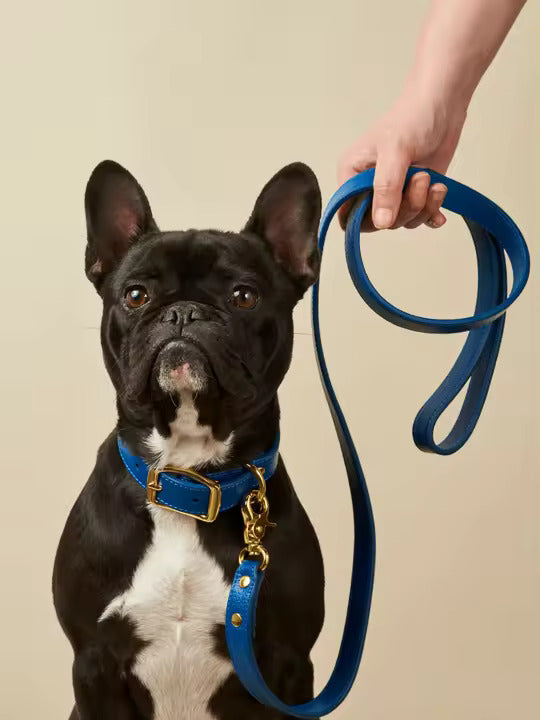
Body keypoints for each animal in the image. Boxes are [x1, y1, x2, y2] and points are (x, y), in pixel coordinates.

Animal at [53, 160, 324, 716]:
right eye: (136, 295)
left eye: (245, 296)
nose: (184, 312)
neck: (189, 475)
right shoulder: (92, 662)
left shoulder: (289, 663)